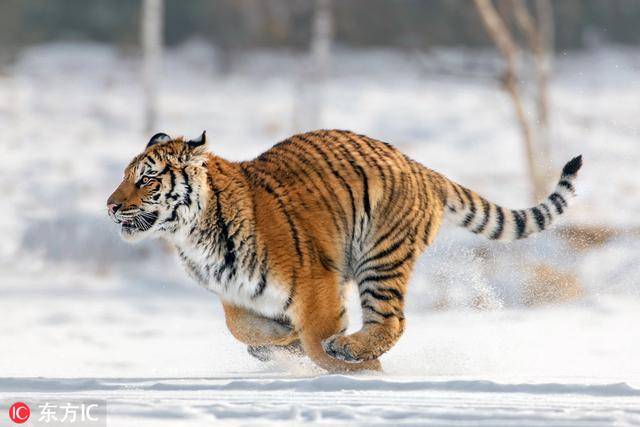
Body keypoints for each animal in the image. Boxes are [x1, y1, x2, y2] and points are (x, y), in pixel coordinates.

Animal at [106, 129, 584, 372]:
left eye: (147, 179)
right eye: (126, 176)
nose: (110, 205)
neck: (193, 236)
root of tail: (419, 166)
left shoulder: (315, 280)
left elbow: (317, 339)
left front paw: (354, 373)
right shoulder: (234, 293)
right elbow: (242, 328)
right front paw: (279, 345)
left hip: (380, 257)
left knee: (391, 322)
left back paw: (351, 350)